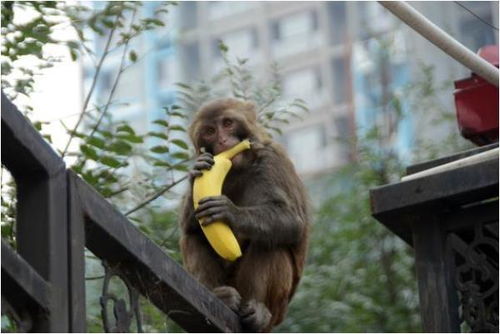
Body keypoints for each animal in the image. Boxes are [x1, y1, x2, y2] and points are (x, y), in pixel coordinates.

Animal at [180, 97, 308, 332]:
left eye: (228, 123)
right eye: (210, 131)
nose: (222, 140)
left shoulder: (271, 159)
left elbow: (292, 221)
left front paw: (230, 212)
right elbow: (189, 225)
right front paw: (197, 171)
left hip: (278, 305)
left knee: (270, 241)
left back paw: (258, 310)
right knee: (193, 235)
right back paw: (221, 296)